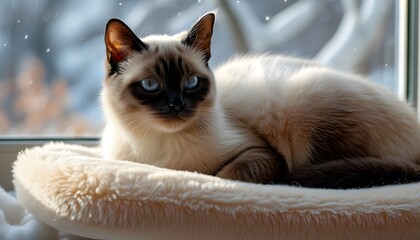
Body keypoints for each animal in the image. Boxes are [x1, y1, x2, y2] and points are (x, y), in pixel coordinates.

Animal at [100, 12, 420, 189]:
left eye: (191, 83)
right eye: (151, 85)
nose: (176, 105)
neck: (158, 152)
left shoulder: (259, 152)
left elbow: (225, 175)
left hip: (304, 99)